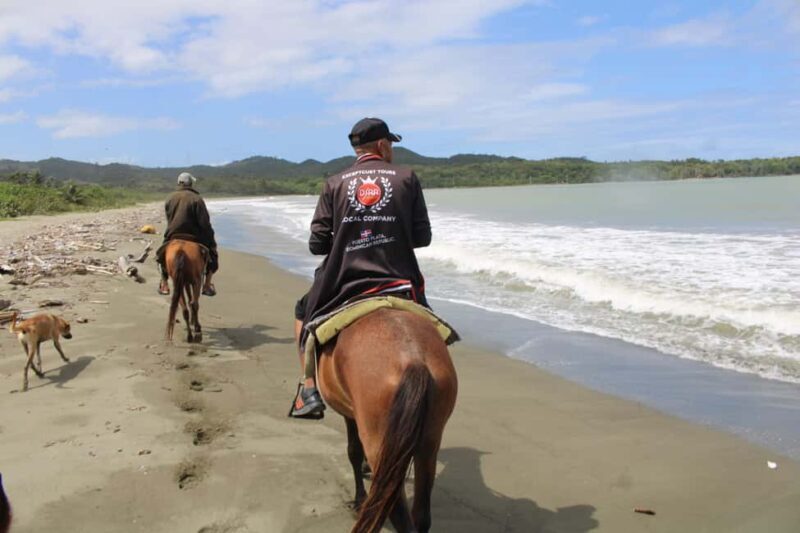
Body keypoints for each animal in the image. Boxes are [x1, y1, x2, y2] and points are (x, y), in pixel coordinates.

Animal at [317, 308, 458, 533]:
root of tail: (413, 358)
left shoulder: (350, 414)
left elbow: (353, 452)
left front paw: (359, 499)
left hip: (378, 439)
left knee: (396, 511)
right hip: (430, 440)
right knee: (421, 515)